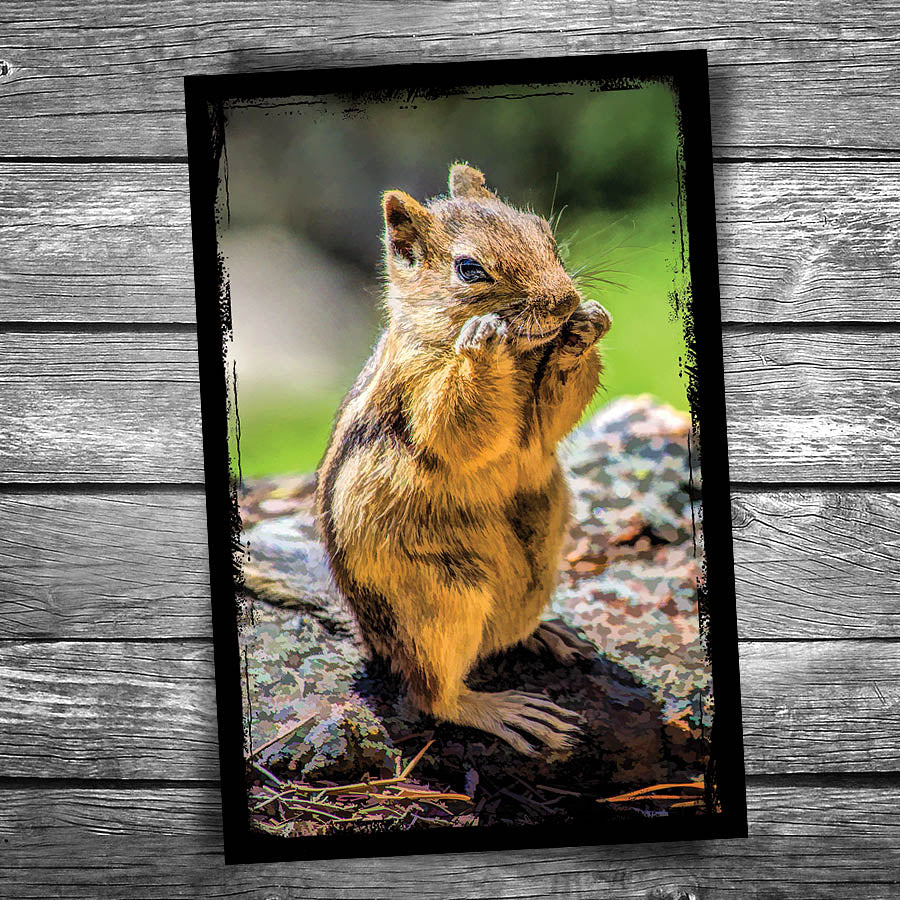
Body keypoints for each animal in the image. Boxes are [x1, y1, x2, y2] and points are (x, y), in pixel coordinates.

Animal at [316, 164, 611, 755]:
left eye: (546, 233)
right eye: (469, 269)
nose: (565, 302)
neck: (524, 356)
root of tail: (374, 642)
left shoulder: (539, 421)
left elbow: (552, 416)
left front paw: (587, 325)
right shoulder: (418, 388)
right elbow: (455, 424)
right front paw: (481, 344)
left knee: (502, 639)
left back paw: (548, 633)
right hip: (444, 605)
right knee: (435, 698)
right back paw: (510, 712)